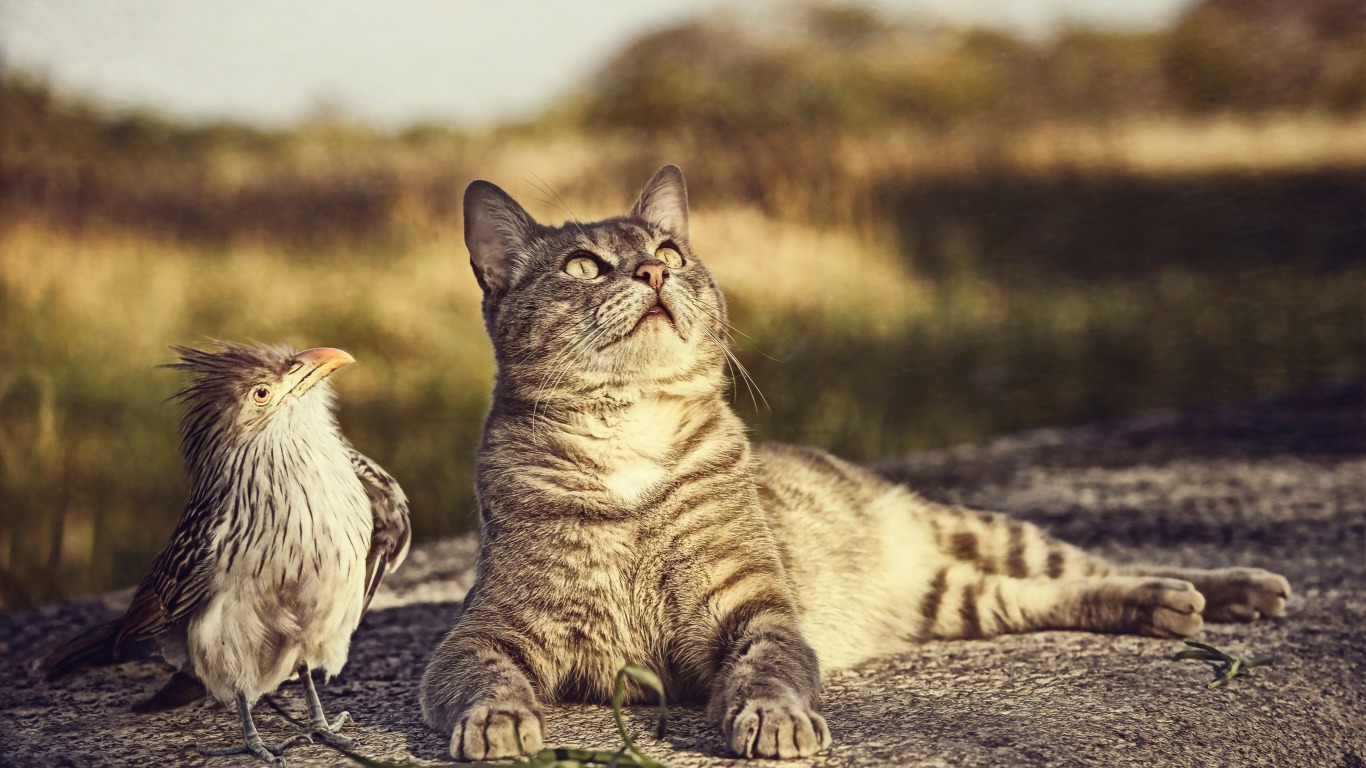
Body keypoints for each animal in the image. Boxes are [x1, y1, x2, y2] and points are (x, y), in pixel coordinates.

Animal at [417, 164, 1289, 754]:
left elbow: (771, 670)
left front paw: (774, 720)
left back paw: (1227, 590)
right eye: (583, 266)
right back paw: (1168, 607)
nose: (656, 269)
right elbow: (482, 680)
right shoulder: (487, 629)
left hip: (987, 530)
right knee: (1055, 596)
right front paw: (498, 722)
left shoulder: (756, 610)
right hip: (962, 598)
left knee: (1100, 564)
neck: (633, 437)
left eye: (669, 249)